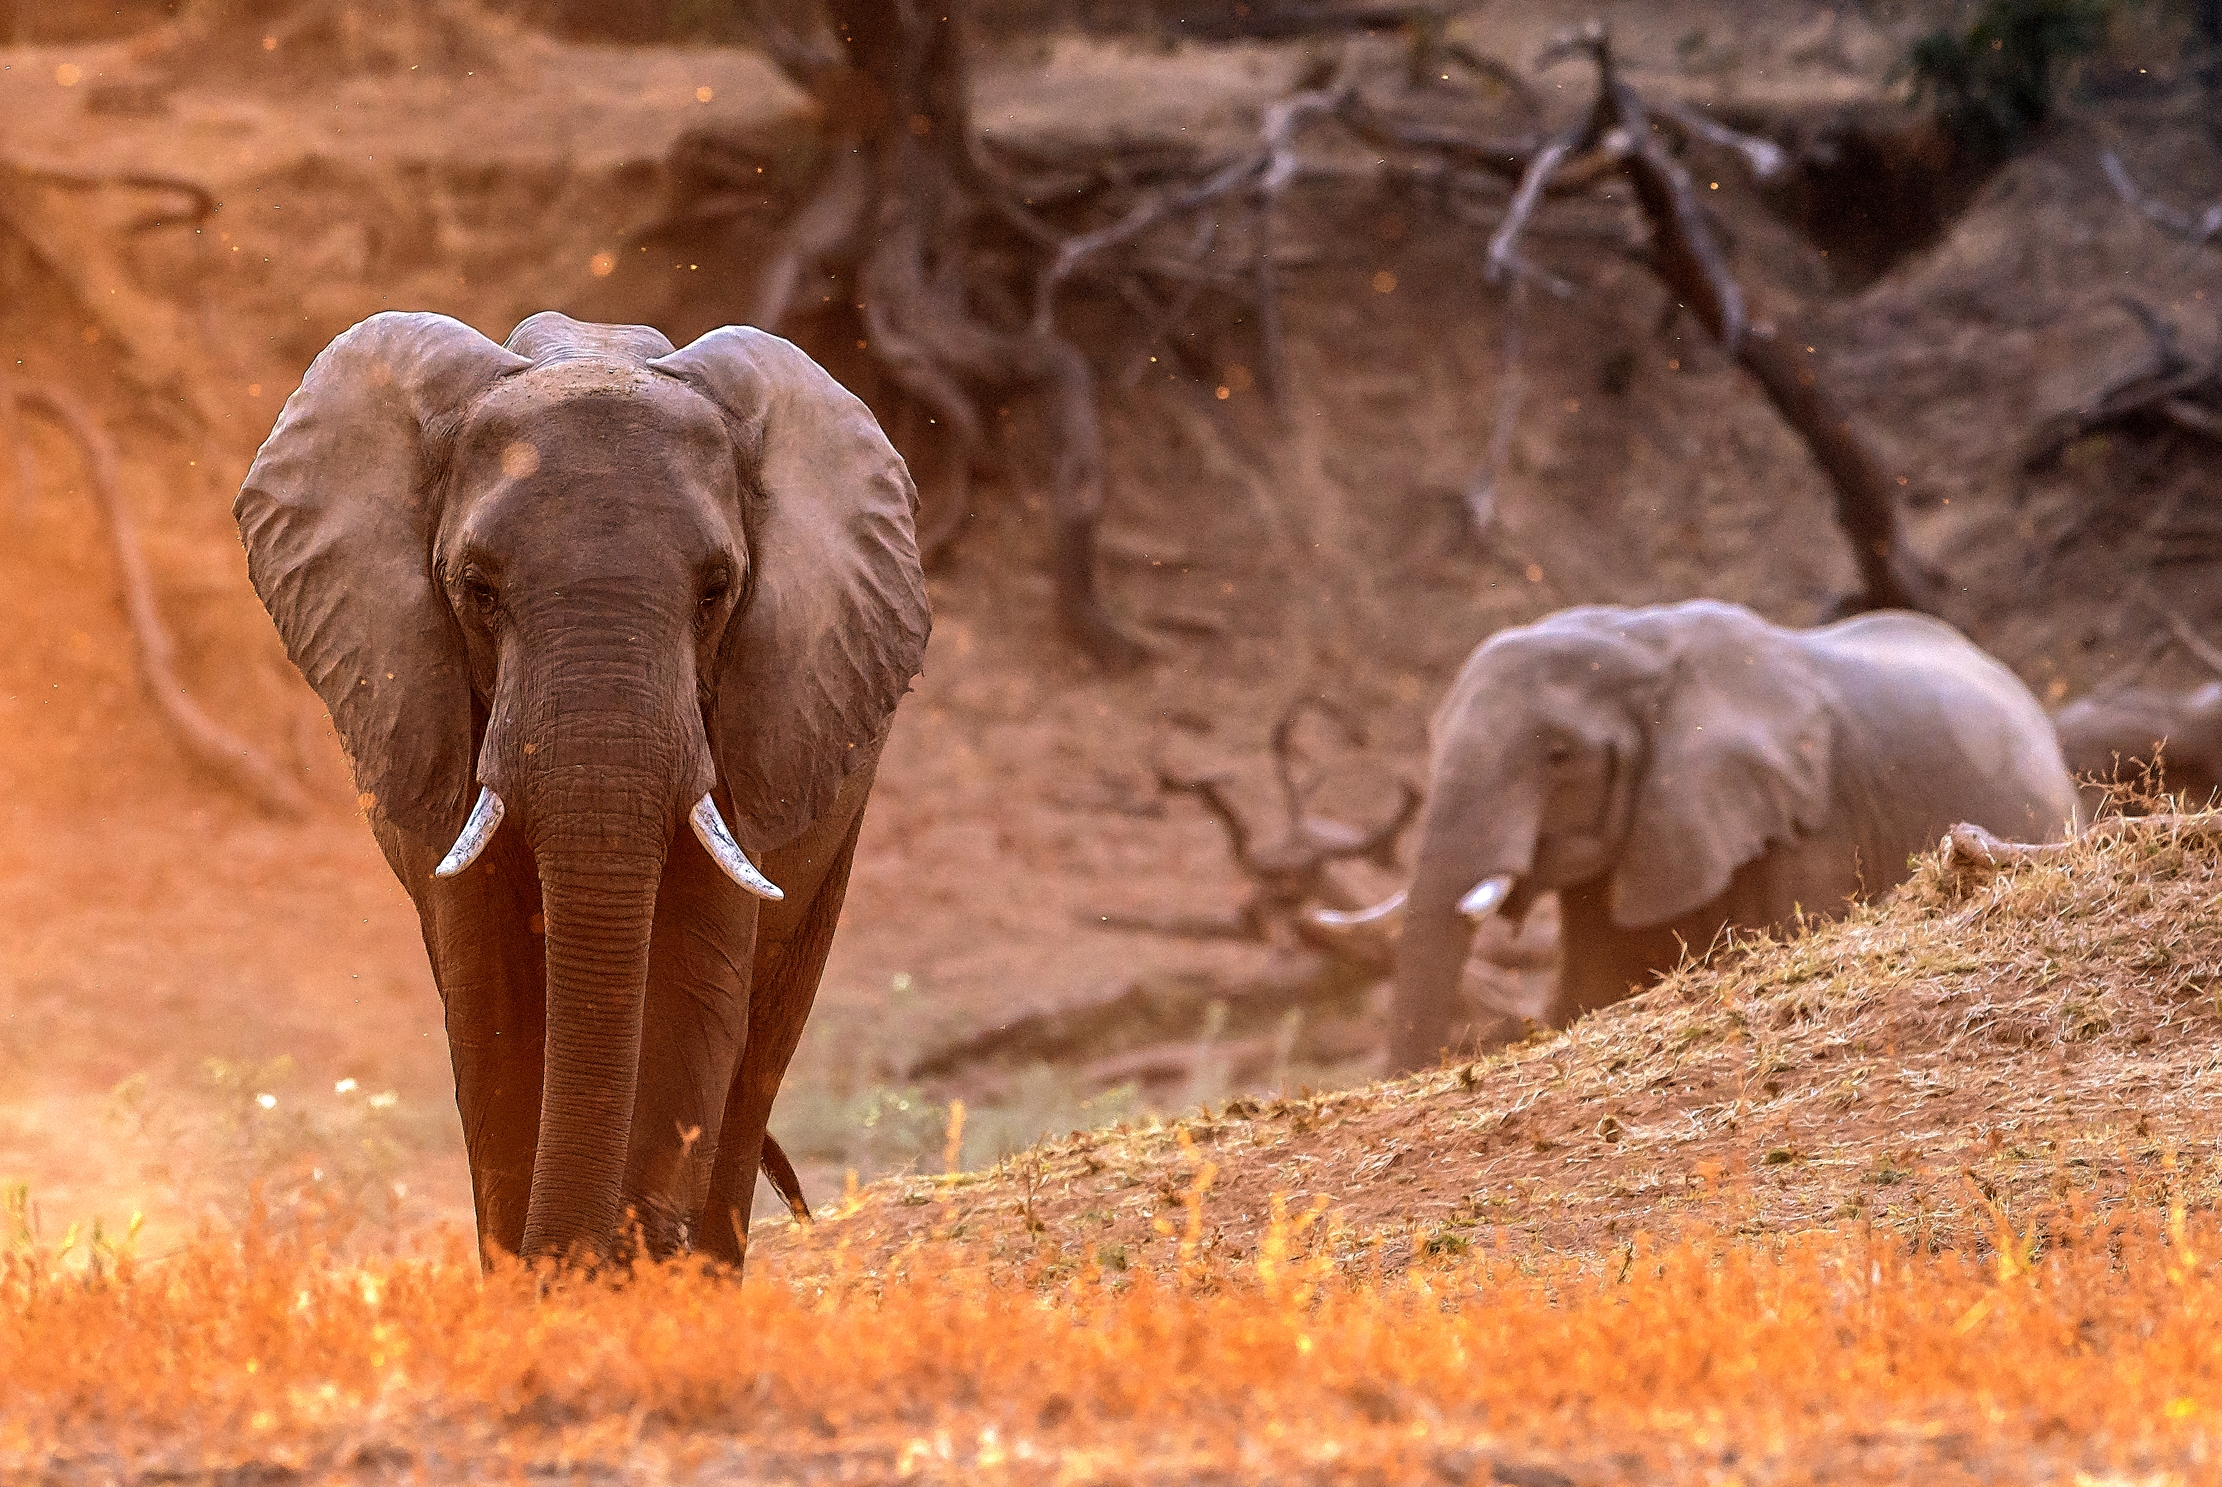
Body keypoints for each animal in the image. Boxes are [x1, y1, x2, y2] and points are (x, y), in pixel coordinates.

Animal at [235, 310, 929, 1265]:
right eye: (477, 589)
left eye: (717, 591)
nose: (566, 1261)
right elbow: (490, 1000)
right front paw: (539, 1281)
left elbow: (688, 988)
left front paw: (627, 1287)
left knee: (757, 1055)